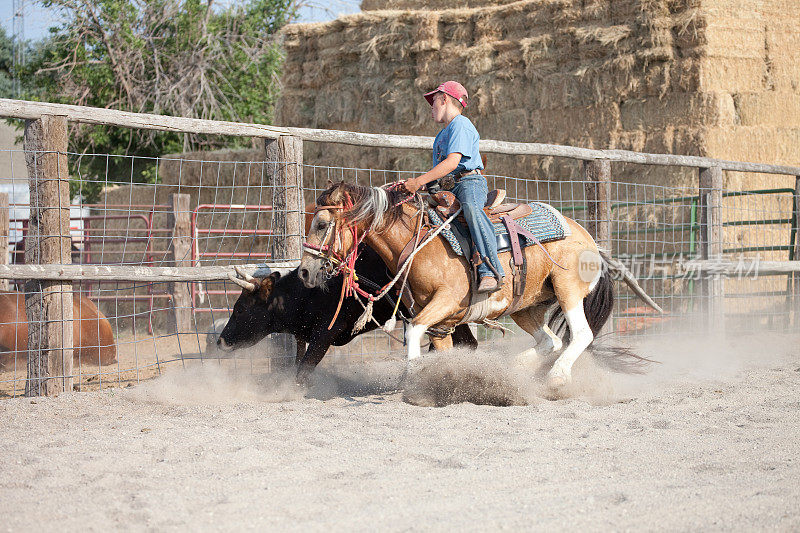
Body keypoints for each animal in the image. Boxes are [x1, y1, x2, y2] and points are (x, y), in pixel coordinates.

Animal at [300, 181, 664, 388]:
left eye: (321, 223)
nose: (304, 271)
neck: (418, 244)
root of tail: (590, 241)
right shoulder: (441, 322)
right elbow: (439, 348)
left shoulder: (446, 302)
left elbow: (414, 332)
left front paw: (413, 377)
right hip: (526, 307)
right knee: (549, 342)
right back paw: (513, 370)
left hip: (567, 289)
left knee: (581, 335)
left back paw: (556, 378)